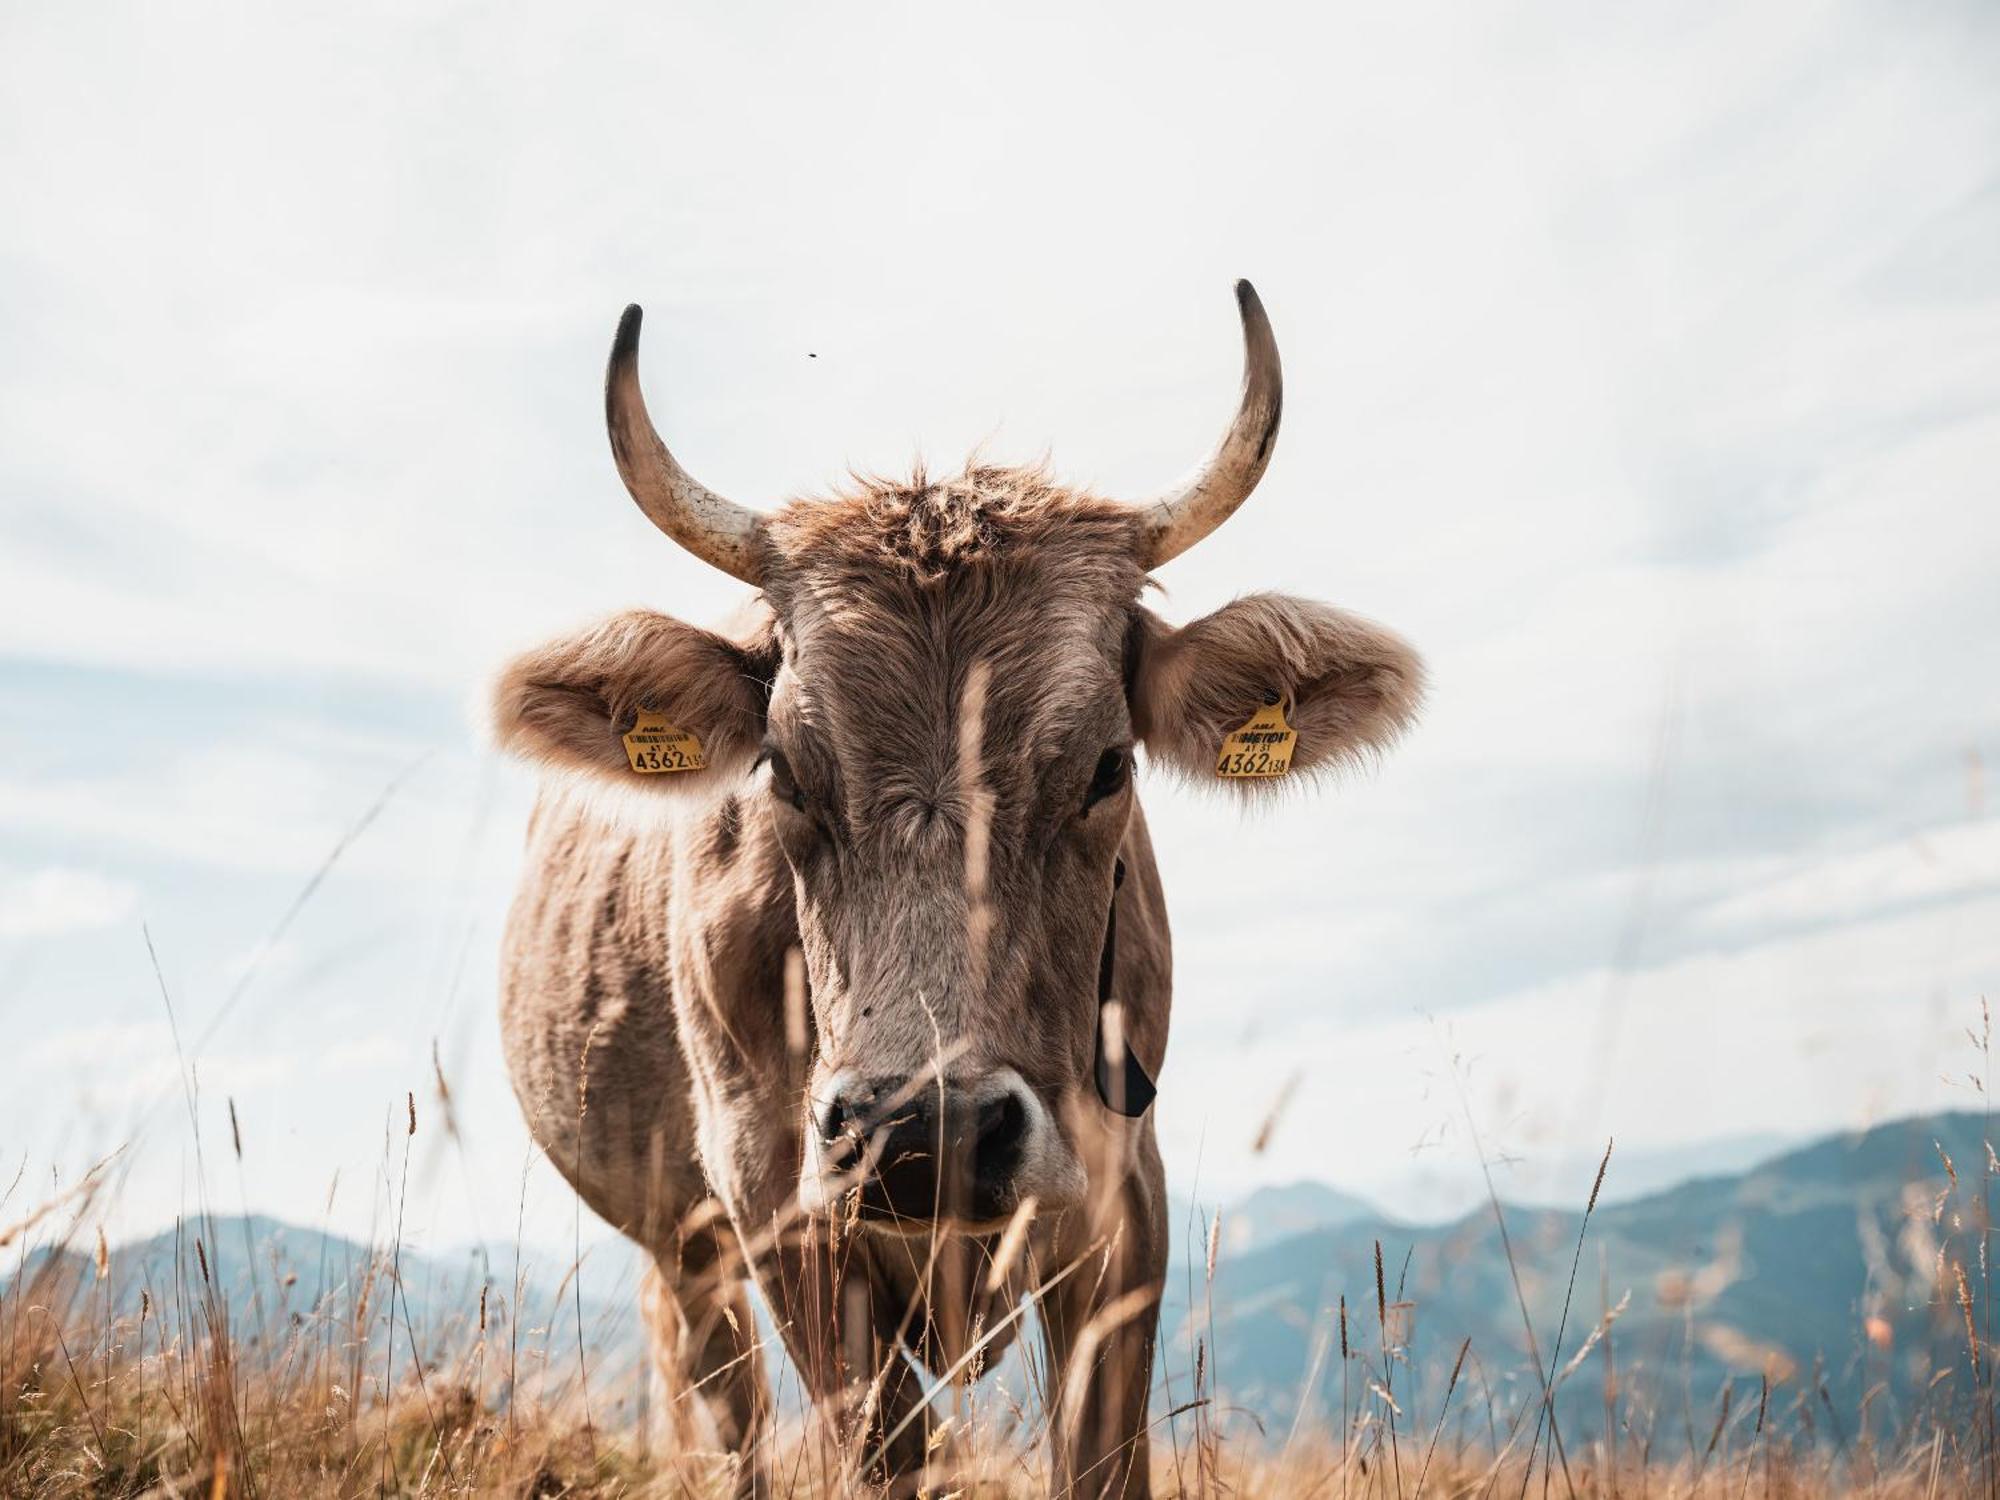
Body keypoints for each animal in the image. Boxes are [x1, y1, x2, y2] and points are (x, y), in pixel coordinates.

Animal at [488, 284, 1424, 1500]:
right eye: (783, 769)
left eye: (1107, 767)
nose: (925, 1129)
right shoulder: (783, 1204)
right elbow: (880, 1444)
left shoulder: (1122, 1192)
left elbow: (1101, 1458)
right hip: (686, 1240)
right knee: (719, 1400)